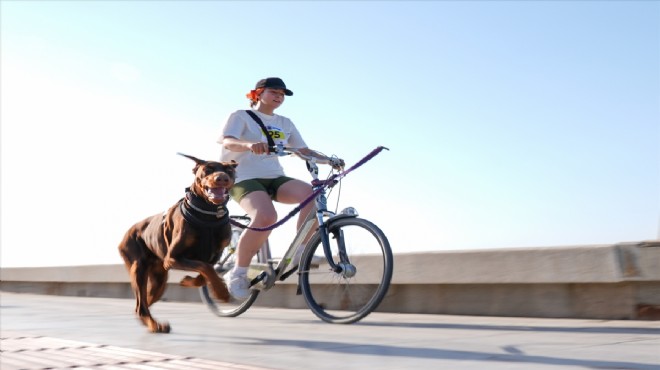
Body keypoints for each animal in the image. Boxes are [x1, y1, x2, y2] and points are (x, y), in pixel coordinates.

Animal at [118, 153, 237, 332]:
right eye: (208, 169)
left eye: (229, 170)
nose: (221, 178)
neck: (208, 215)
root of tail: (127, 233)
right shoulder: (172, 258)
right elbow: (205, 267)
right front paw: (221, 292)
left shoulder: (216, 254)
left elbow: (205, 273)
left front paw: (189, 281)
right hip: (138, 267)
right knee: (141, 305)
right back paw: (155, 325)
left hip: (159, 280)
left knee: (143, 303)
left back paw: (152, 324)